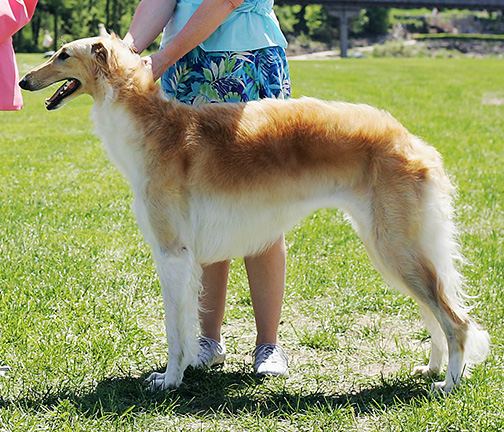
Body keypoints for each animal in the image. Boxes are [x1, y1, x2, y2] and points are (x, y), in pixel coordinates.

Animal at [19, 33, 488, 392]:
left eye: (62, 54)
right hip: (390, 246)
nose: (23, 80)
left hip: (394, 246)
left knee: (456, 320)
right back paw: (430, 368)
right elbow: (187, 323)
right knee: (435, 314)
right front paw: (184, 370)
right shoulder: (185, 257)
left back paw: (448, 383)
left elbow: (173, 328)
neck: (153, 128)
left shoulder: (171, 253)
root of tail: (412, 141)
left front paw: (169, 380)